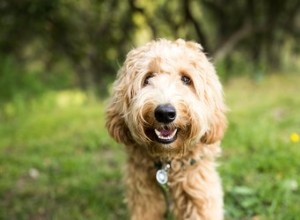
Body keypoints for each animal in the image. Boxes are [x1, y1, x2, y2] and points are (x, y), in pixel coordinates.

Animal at [106, 38, 226, 219]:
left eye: (186, 79)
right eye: (148, 78)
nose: (164, 113)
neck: (168, 165)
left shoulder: (199, 190)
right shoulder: (144, 199)